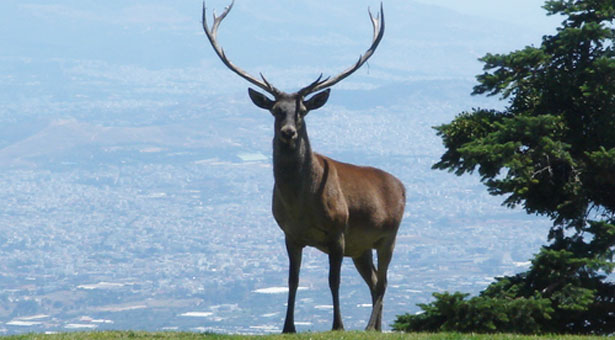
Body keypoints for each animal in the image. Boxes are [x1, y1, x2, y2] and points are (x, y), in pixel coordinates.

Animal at [202, 1, 404, 334]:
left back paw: (367, 327)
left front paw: (338, 325)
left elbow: (333, 281)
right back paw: (376, 328)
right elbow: (292, 280)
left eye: (303, 111)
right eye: (275, 110)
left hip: (389, 234)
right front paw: (287, 326)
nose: (288, 133)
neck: (301, 205)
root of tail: (401, 186)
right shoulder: (290, 234)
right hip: (361, 247)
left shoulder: (338, 230)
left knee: (384, 281)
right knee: (375, 280)